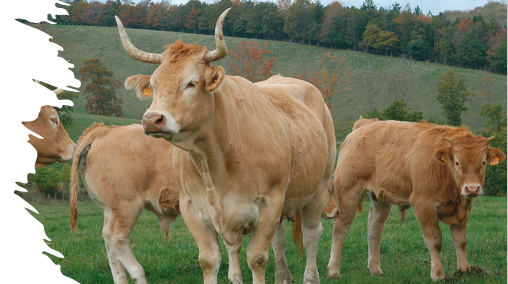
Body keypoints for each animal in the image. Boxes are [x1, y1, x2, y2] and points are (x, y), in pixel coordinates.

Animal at [68, 123, 181, 284]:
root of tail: (104, 130)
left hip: (110, 210)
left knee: (111, 250)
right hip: (127, 205)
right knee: (115, 237)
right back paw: (138, 274)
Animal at [328, 118, 506, 280]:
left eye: (483, 162)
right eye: (457, 162)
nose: (472, 188)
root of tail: (364, 124)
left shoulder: (463, 210)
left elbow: (460, 241)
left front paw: (464, 271)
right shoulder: (424, 206)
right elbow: (435, 240)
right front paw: (438, 274)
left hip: (380, 199)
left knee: (374, 227)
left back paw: (375, 269)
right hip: (348, 192)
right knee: (340, 228)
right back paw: (334, 270)